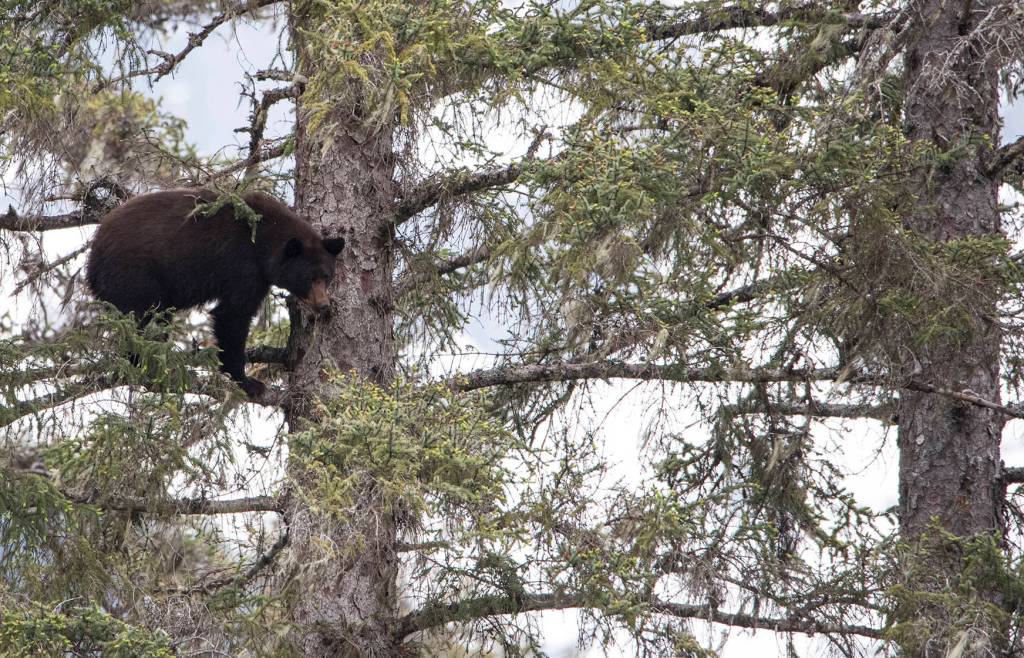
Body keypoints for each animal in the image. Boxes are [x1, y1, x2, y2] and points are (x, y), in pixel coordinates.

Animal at [86, 188, 344, 398]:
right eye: (308, 278)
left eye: (327, 275)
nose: (324, 305)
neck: (264, 238)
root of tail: (93, 258)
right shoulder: (243, 266)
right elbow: (233, 315)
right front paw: (246, 381)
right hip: (134, 277)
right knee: (144, 320)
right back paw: (148, 365)